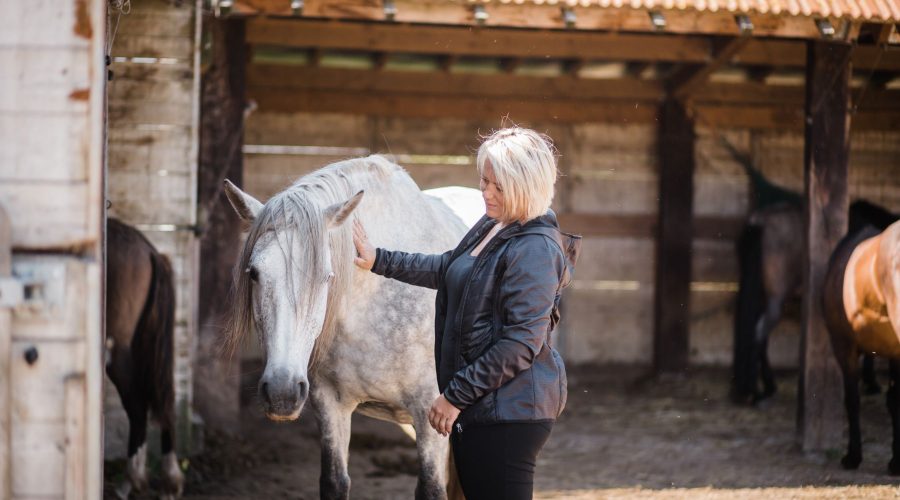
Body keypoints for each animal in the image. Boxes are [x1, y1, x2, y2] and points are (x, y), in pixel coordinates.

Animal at [105, 220, 183, 500]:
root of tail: (151, 252)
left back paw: (131, 482)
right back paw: (169, 482)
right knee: (166, 401)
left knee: (137, 407)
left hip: (117, 351)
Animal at [222, 156, 482, 500]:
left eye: (326, 276)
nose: (282, 392)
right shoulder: (329, 404)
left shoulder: (429, 415)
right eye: (254, 273)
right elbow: (335, 481)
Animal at [828, 210, 900, 472]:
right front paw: (895, 461)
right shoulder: (894, 354)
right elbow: (893, 400)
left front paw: (853, 456)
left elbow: (852, 400)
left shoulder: (843, 347)